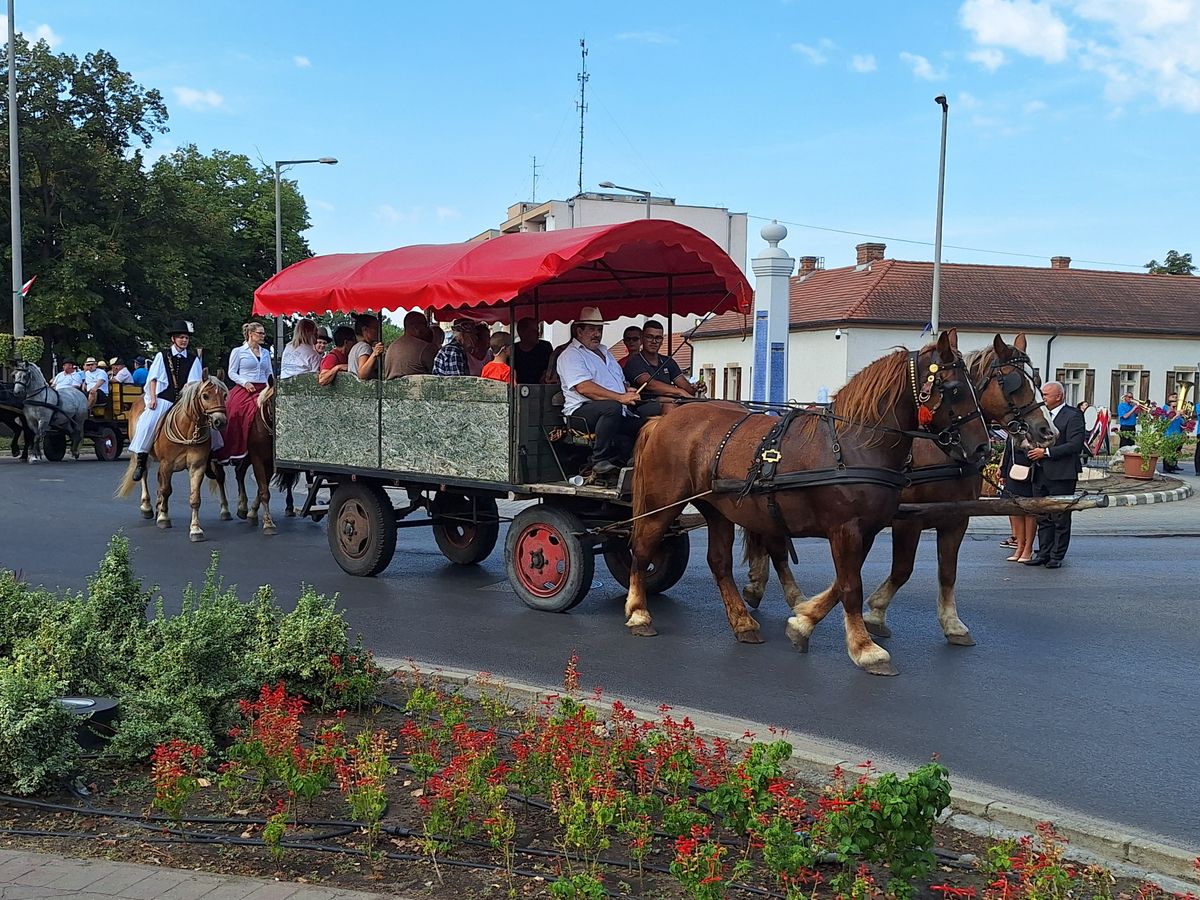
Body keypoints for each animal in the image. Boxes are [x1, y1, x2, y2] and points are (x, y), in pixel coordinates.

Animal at [117, 379, 229, 542]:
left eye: (225, 395)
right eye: (205, 396)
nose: (220, 421)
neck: (188, 431)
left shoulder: (197, 467)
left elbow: (194, 498)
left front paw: (195, 529)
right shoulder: (167, 465)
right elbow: (166, 490)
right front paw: (164, 517)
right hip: (143, 453)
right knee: (143, 472)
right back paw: (147, 506)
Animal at [624, 331, 988, 676]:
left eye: (975, 386)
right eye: (955, 389)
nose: (983, 448)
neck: (853, 443)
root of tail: (665, 419)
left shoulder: (868, 530)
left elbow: (842, 584)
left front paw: (802, 623)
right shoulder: (846, 529)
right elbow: (850, 586)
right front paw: (865, 649)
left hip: (717, 510)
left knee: (719, 562)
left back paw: (743, 622)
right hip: (663, 502)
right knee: (642, 551)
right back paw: (639, 613)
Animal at [739, 331, 1060, 648]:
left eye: (1036, 380)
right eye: (1012, 382)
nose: (1048, 432)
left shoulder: (955, 518)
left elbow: (947, 572)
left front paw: (952, 624)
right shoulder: (908, 520)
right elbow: (899, 569)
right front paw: (872, 614)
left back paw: (759, 586)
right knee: (774, 545)